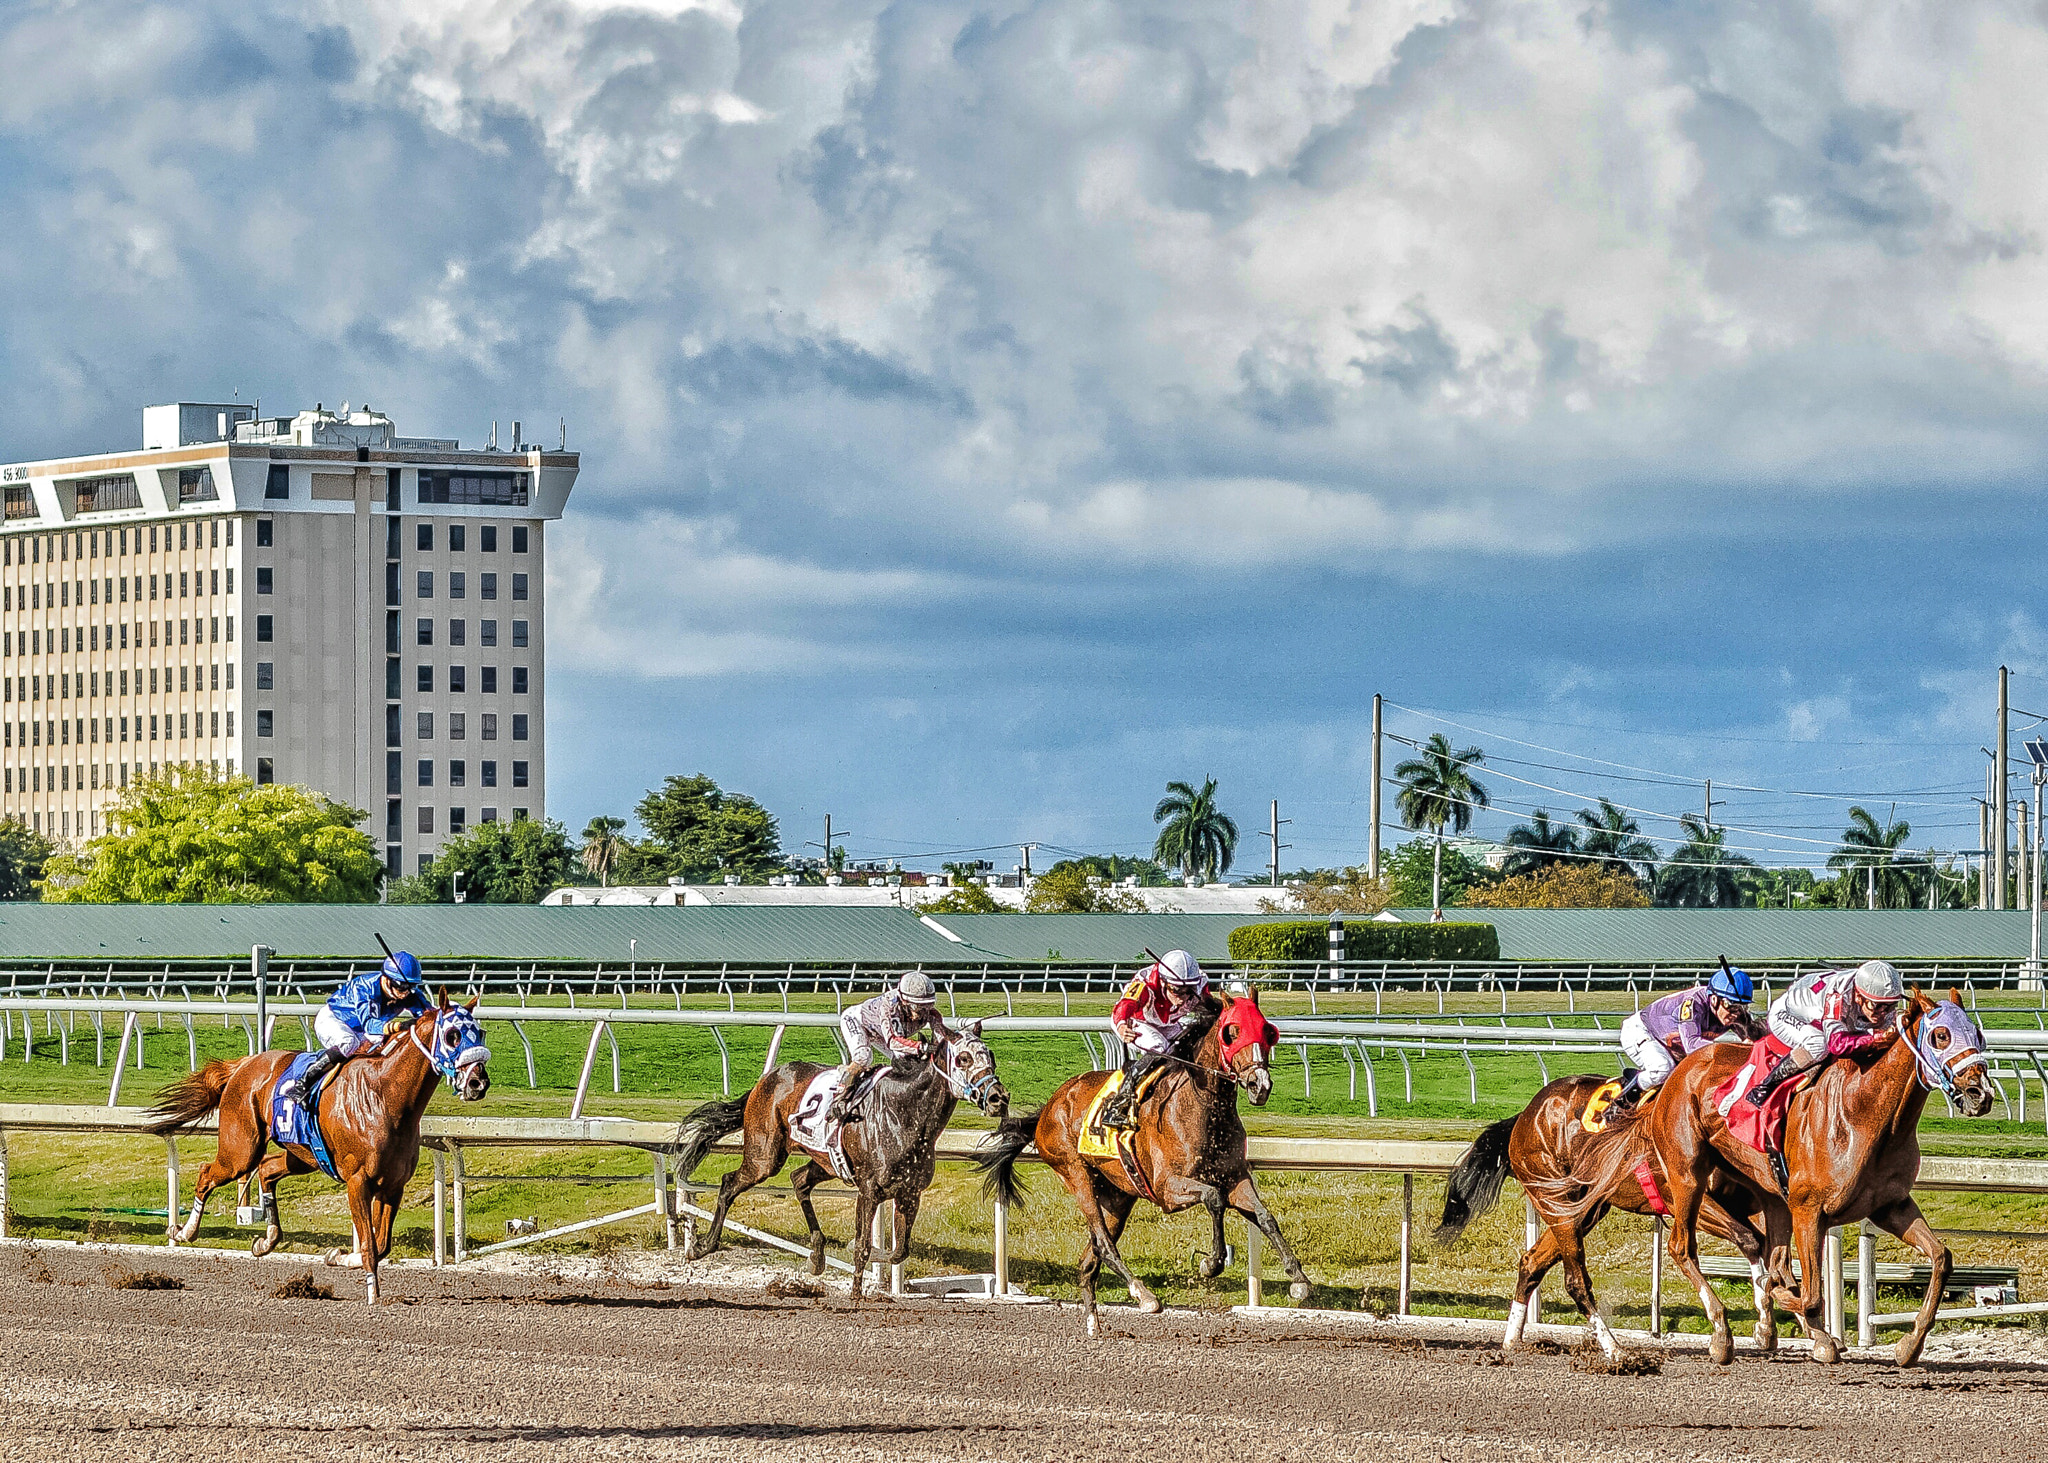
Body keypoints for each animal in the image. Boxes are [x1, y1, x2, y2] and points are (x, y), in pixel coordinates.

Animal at [145, 991, 491, 1303]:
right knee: (208, 1173)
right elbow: (369, 1243)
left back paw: (266, 1241)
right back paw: (182, 1232)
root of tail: (245, 1064)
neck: (386, 1095)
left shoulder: (393, 1185)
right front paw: (373, 1296)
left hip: (304, 1156)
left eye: (480, 1032)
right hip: (241, 1150)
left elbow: (381, 1244)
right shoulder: (358, 1181)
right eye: (452, 1034)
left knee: (267, 1169)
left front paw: (339, 1256)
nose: (479, 1082)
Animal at [671, 1020, 1007, 1294]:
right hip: (764, 1156)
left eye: (990, 1056)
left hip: (827, 1162)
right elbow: (862, 1247)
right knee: (730, 1183)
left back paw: (817, 1256)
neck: (904, 1114)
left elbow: (899, 1251)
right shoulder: (869, 1191)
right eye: (963, 1058)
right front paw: (855, 1294)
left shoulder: (910, 1193)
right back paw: (701, 1247)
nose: (998, 1098)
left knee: (799, 1180)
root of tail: (765, 1080)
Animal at [970, 979, 1294, 1335]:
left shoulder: (1235, 1177)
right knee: (1103, 1243)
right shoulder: (1167, 1189)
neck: (1203, 1108)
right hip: (1075, 1172)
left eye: (1267, 1031)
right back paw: (1144, 1296)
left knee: (1089, 1259)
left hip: (1118, 1194)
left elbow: (1264, 1216)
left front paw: (1298, 1278)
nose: (1260, 1084)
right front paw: (1211, 1262)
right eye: (1232, 1032)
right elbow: (1214, 1198)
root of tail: (1048, 1108)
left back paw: (1094, 1325)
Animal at [1433, 1057, 1785, 1352]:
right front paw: (1741, 1328)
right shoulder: (1682, 1198)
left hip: (1585, 1209)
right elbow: (1745, 1237)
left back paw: (1511, 1340)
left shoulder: (1748, 1200)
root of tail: (1524, 1116)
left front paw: (1768, 1324)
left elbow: (1763, 1242)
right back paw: (1613, 1349)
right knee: (1575, 1281)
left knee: (1532, 1263)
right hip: (1554, 1198)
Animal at [1654, 987, 1990, 1360]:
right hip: (1688, 1179)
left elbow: (1942, 1258)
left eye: (1978, 1035)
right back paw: (1722, 1333)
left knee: (1769, 1252)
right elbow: (1810, 1293)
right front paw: (1791, 1306)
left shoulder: (1891, 1206)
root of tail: (1683, 1068)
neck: (1864, 1114)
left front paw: (1909, 1344)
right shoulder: (1808, 1209)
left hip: (1769, 1196)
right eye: (1940, 1035)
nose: (1980, 1093)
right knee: (1682, 1247)